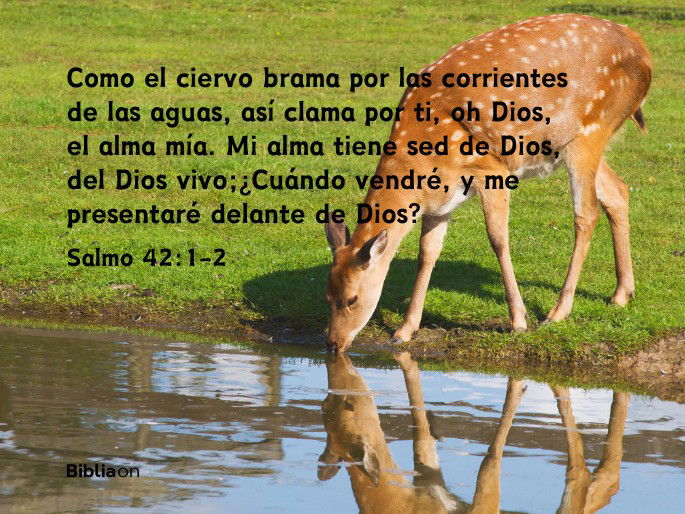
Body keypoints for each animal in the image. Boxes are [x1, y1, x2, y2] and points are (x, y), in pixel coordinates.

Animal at [324, 14, 652, 352]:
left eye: (352, 299)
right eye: (327, 296)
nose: (333, 342)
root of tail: (641, 47)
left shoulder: (492, 168)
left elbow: (498, 238)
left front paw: (519, 320)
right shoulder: (440, 201)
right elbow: (427, 252)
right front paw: (404, 330)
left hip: (590, 131)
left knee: (586, 213)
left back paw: (558, 312)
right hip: (575, 144)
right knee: (618, 192)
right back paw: (621, 293)